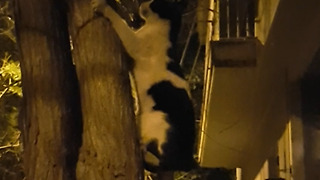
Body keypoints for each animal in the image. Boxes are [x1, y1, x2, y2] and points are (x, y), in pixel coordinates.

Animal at [91, 0, 196, 172]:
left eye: (154, 2)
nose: (142, 3)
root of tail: (187, 161)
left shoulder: (134, 43)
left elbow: (120, 21)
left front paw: (104, 6)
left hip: (158, 120)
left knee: (163, 161)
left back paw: (144, 152)